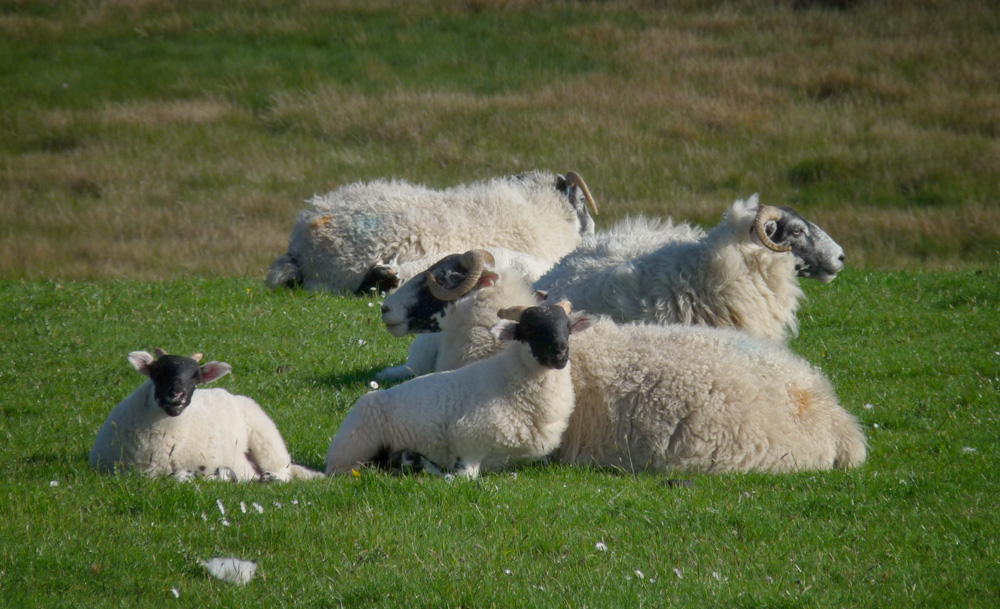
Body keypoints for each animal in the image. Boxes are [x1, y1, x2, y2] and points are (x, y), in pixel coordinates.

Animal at [91, 350, 320, 482]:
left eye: (196, 378)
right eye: (158, 372)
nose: (176, 396)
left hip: (267, 438)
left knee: (283, 470)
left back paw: (271, 477)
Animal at [328, 302, 592, 478]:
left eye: (567, 327)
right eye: (529, 330)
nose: (560, 352)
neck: (507, 381)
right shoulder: (467, 443)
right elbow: (459, 479)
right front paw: (428, 467)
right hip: (354, 445)